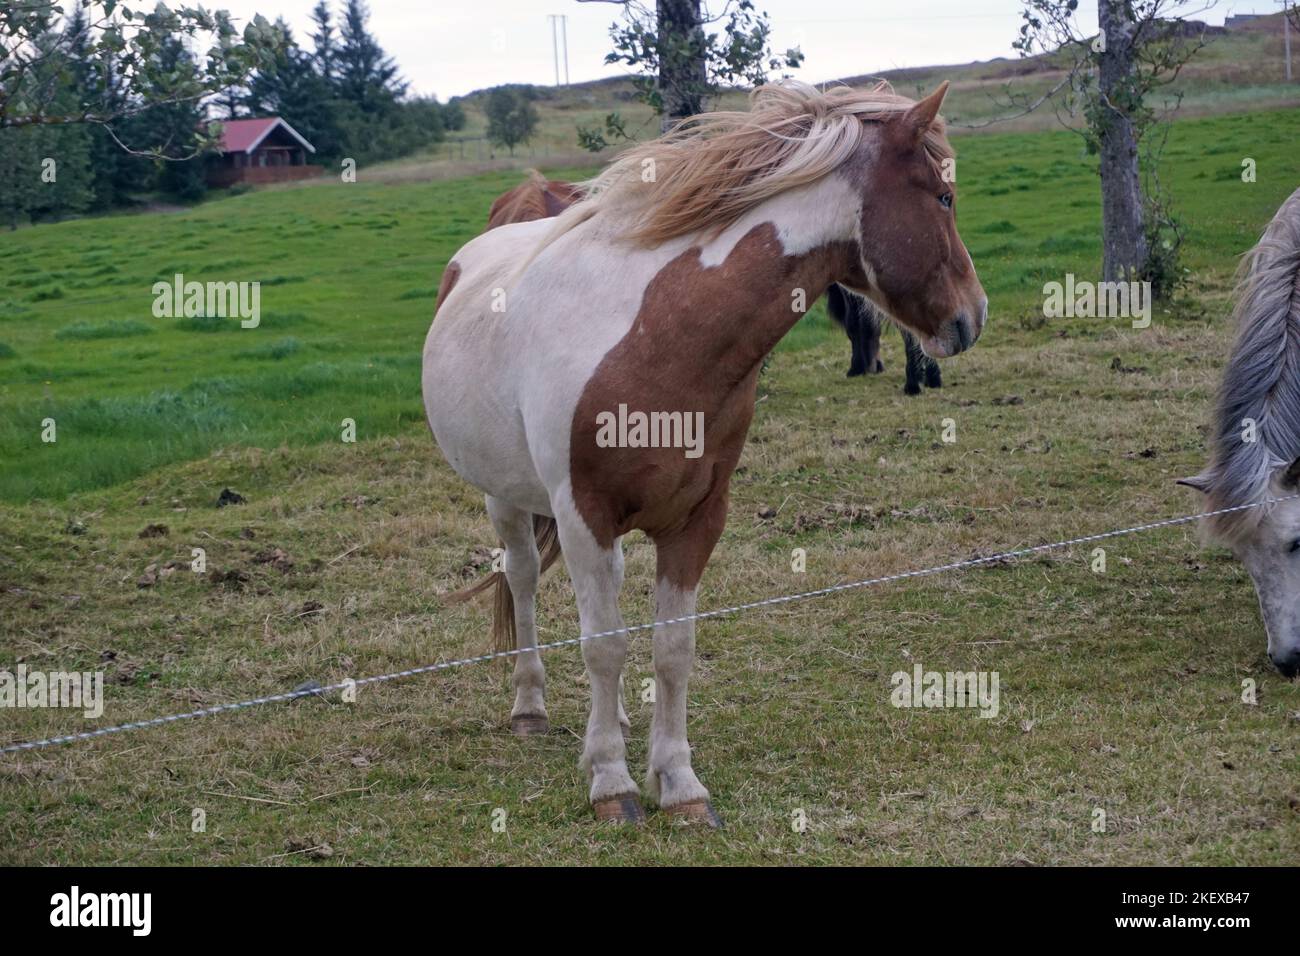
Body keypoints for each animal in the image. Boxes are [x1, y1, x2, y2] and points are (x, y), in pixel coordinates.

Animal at [423, 80, 988, 825]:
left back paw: (615, 721)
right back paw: (530, 707)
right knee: (521, 580)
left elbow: (671, 647)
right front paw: (613, 784)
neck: (658, 334)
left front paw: (679, 784)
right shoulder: (582, 513)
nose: (972, 315)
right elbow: (604, 645)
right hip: (506, 498)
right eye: (943, 197)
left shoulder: (697, 518)